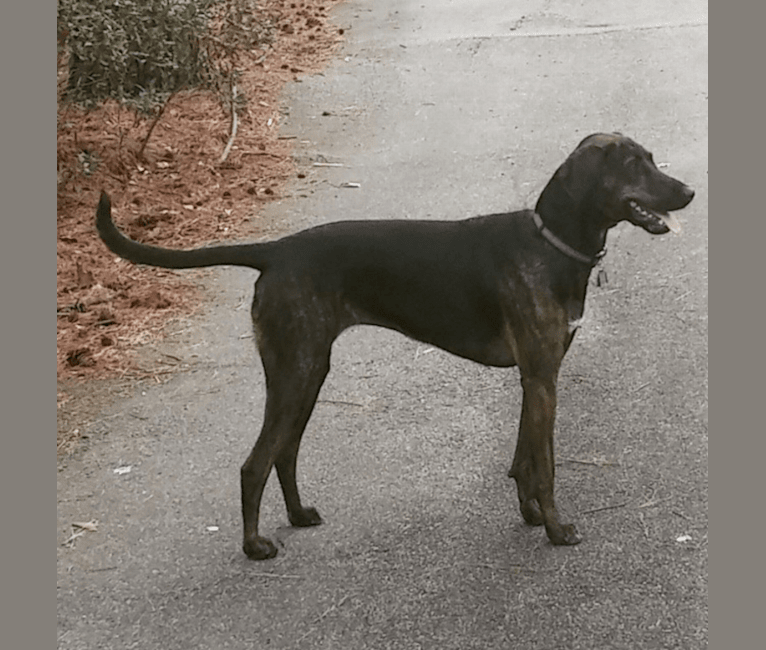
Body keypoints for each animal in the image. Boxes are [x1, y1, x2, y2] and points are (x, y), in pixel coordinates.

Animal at [94, 132, 696, 556]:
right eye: (632, 165)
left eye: (650, 157)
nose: (689, 191)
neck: (551, 246)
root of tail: (276, 251)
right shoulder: (543, 375)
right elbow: (544, 463)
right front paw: (555, 529)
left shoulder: (536, 376)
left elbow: (524, 455)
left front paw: (529, 515)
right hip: (296, 371)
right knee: (255, 463)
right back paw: (255, 546)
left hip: (306, 372)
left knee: (284, 452)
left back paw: (298, 516)